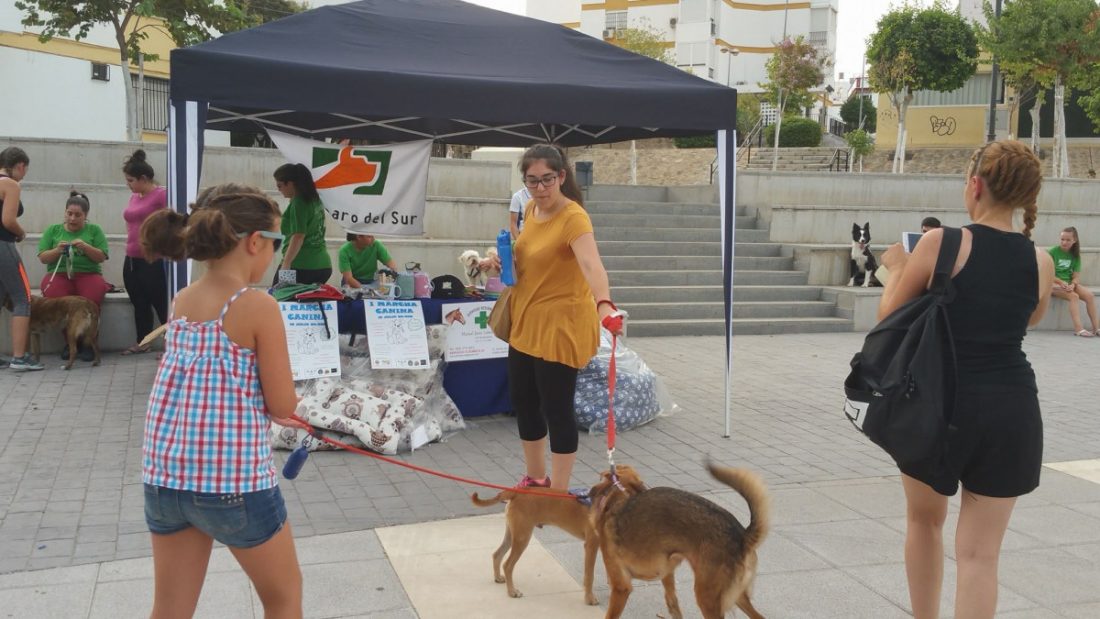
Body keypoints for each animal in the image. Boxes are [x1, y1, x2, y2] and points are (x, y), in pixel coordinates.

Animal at [468, 470, 620, 606]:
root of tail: (517, 491)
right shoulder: (591, 546)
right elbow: (590, 575)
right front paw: (589, 598)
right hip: (522, 537)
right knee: (508, 564)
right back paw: (512, 592)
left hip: (512, 535)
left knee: (497, 554)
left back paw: (498, 578)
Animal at [589, 461, 770, 615]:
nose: (589, 494)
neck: (617, 497)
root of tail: (742, 535)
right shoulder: (667, 573)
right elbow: (673, 602)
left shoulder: (621, 588)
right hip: (737, 596)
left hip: (708, 597)